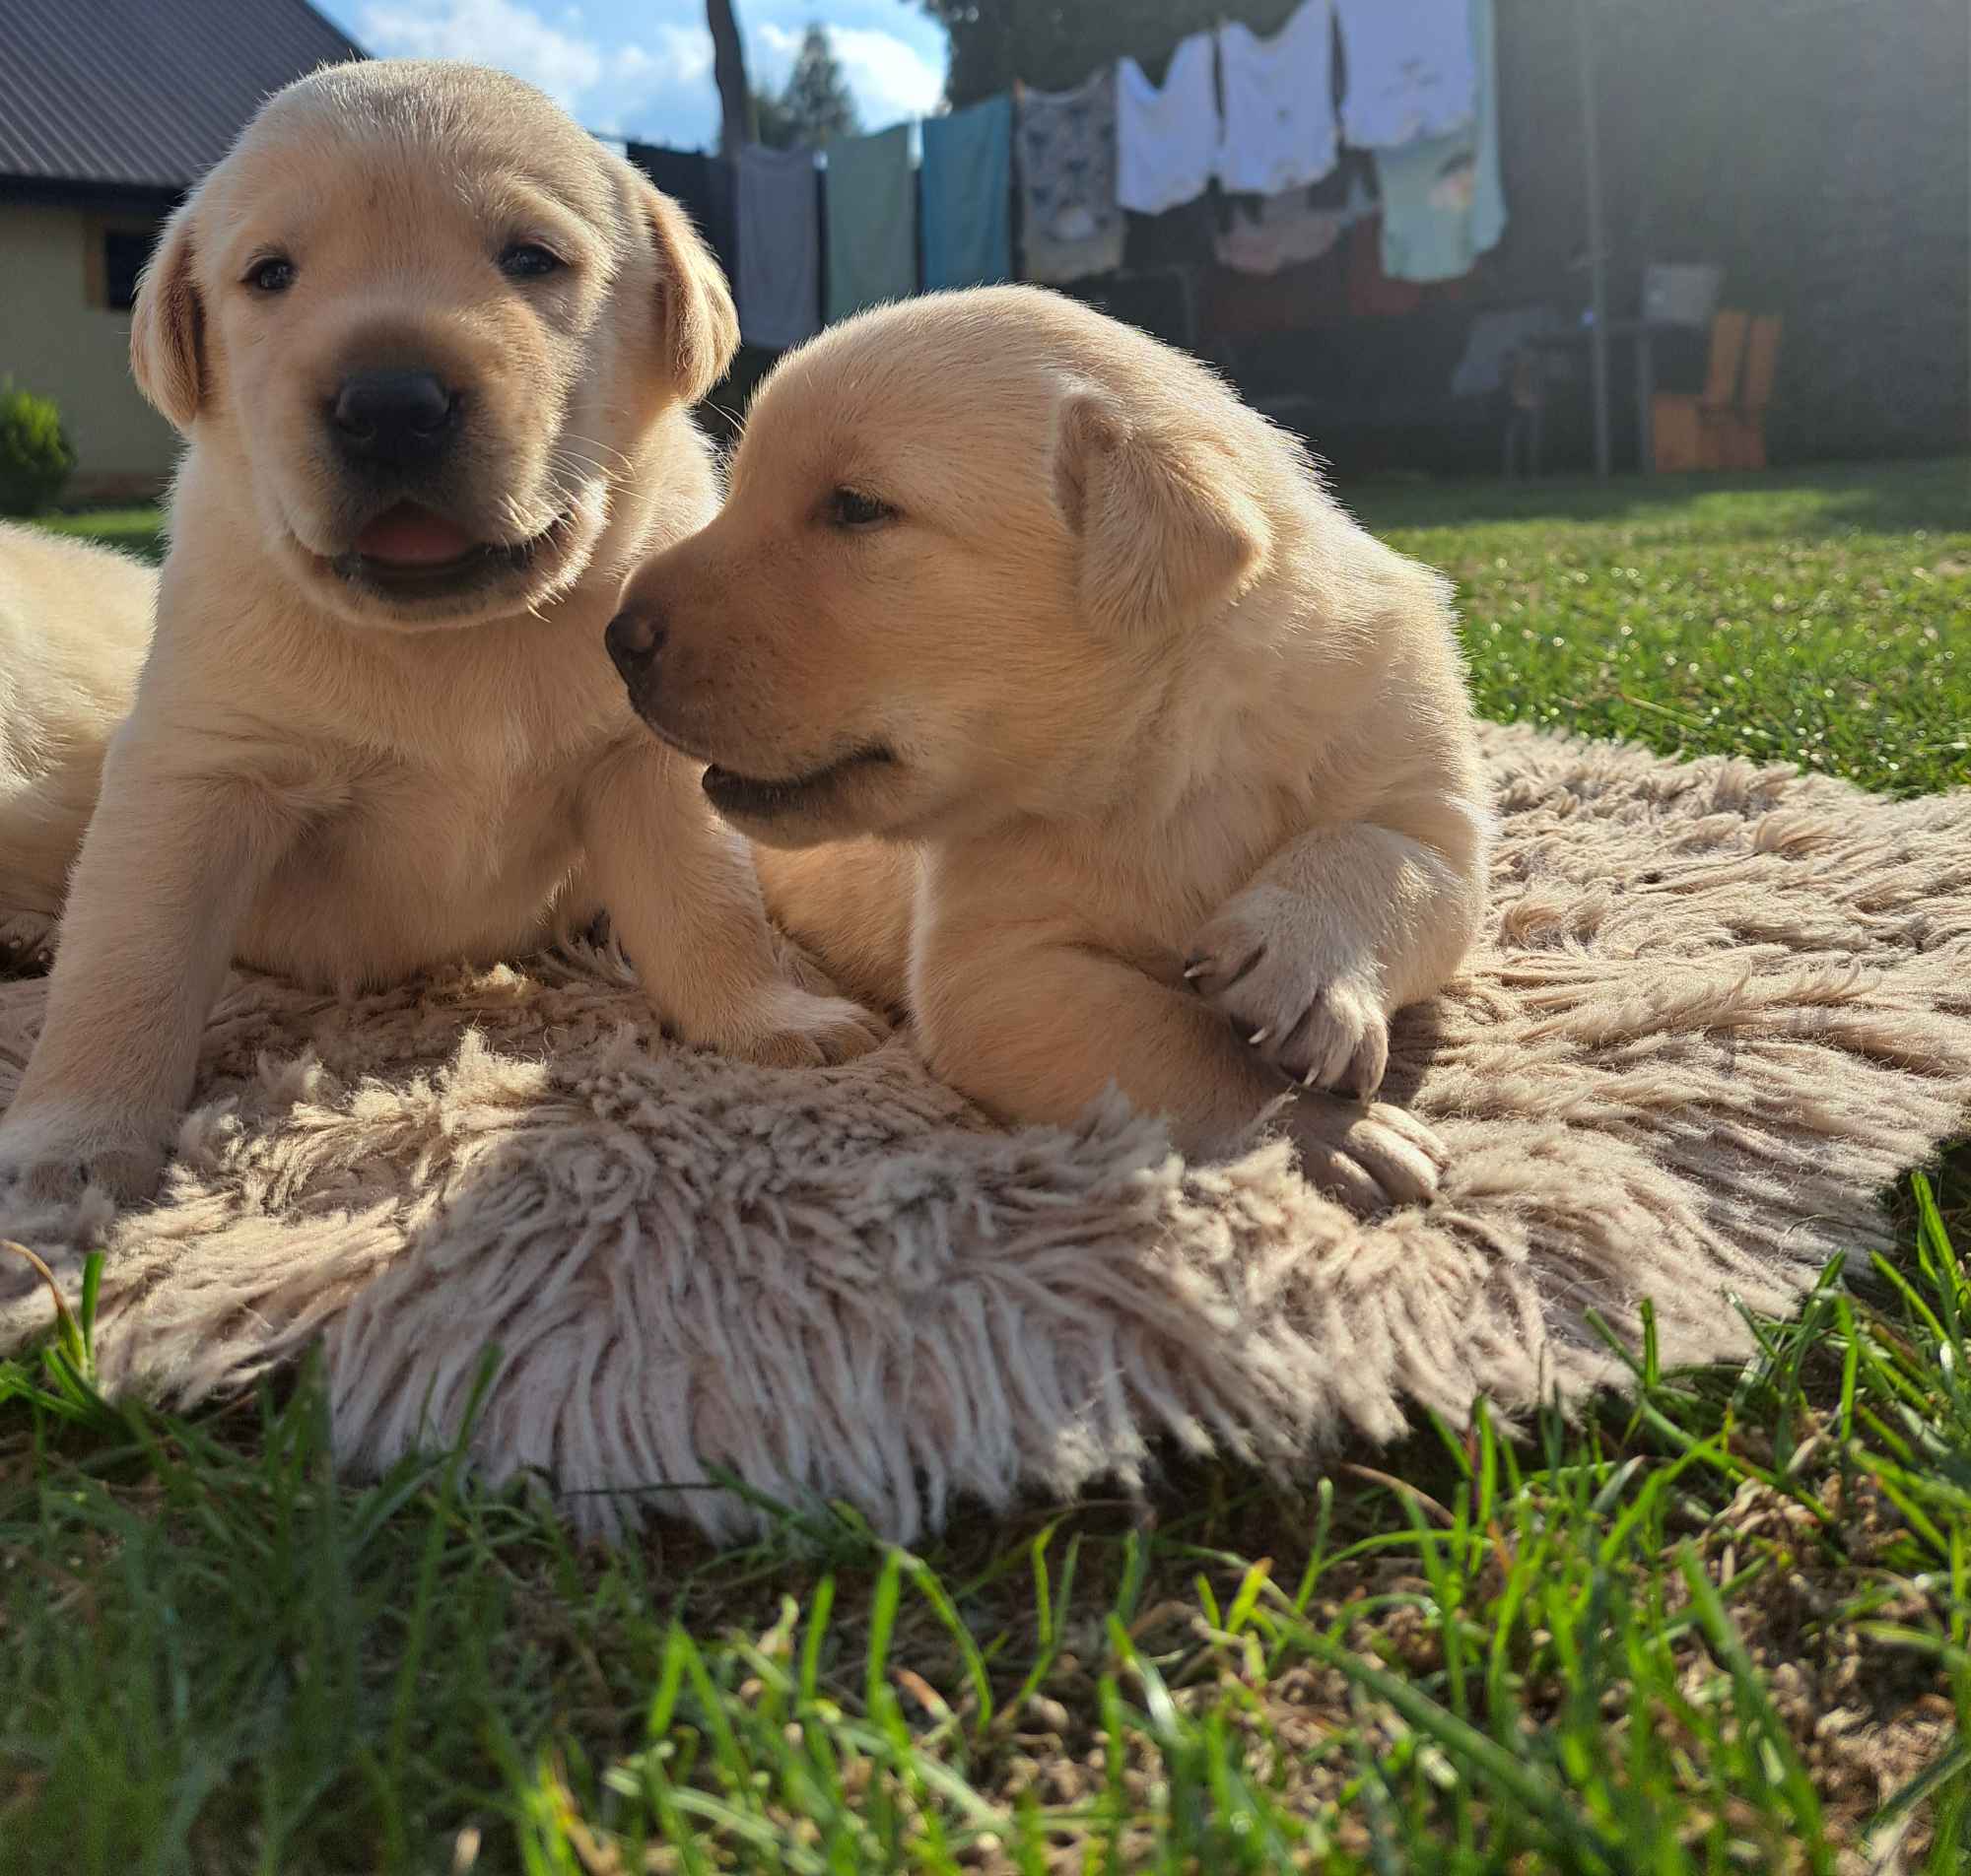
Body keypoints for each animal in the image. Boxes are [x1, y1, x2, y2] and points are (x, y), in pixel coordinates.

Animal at [0, 58, 879, 1206]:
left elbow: (709, 899)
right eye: (270, 274)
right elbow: (126, 959)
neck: (455, 639)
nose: (389, 404)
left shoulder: (644, 753)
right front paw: (73, 1139)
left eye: (532, 258)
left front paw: (766, 1016)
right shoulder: (195, 771)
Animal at [607, 286, 1482, 1206]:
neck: (1169, 758)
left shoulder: (1401, 743)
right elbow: (1167, 1043)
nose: (618, 638)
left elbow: (1396, 857)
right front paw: (1325, 1133)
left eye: (855, 507)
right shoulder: (1001, 965)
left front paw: (1300, 967)